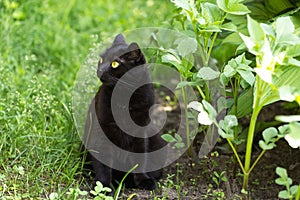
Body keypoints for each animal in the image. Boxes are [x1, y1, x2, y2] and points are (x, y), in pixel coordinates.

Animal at [83, 34, 165, 191]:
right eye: (101, 60)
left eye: (115, 64)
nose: (100, 70)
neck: (123, 97)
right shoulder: (102, 130)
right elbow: (103, 162)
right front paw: (103, 187)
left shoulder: (141, 132)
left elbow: (140, 157)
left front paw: (144, 180)